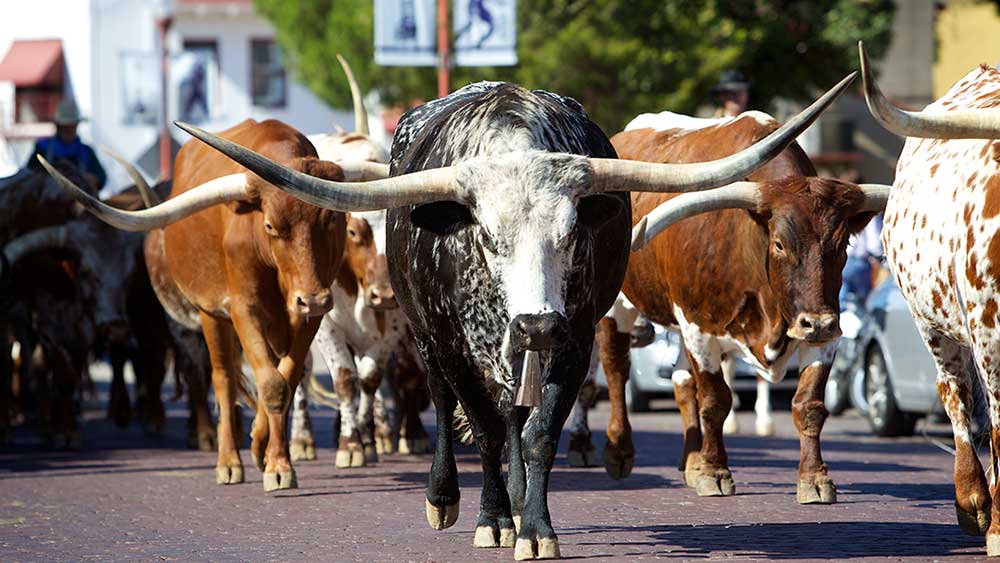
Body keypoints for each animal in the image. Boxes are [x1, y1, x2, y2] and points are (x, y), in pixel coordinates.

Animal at [37, 119, 385, 491]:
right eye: (270, 225)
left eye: (332, 220)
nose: (314, 298)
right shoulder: (244, 309)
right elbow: (271, 384)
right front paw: (275, 464)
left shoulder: (307, 318)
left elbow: (285, 379)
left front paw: (268, 451)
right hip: (210, 315)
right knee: (222, 379)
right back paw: (228, 461)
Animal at [183, 74, 853, 559]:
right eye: (486, 236)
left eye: (572, 232)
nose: (535, 325)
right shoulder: (453, 343)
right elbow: (478, 426)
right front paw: (493, 519)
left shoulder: (574, 340)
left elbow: (537, 433)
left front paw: (534, 527)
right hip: (427, 335)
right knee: (448, 408)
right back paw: (448, 497)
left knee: (514, 413)